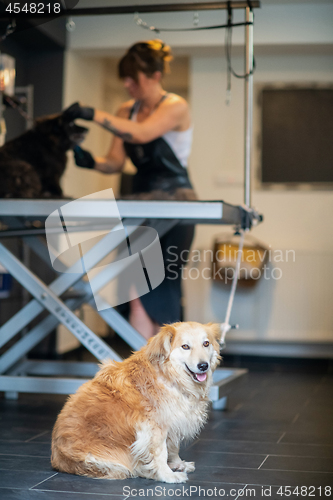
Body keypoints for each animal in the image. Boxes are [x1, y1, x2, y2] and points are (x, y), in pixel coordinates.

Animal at [52, 322, 220, 482]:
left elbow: (173, 447)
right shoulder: (154, 427)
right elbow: (160, 453)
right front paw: (167, 475)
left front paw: (177, 464)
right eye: (185, 346)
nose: (203, 366)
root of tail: (58, 459)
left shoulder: (173, 420)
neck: (169, 375)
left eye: (206, 343)